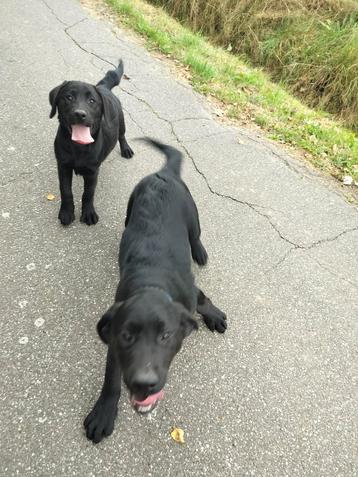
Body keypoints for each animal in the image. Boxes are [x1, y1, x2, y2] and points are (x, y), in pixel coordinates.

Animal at [49, 60, 134, 227]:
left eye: (92, 101)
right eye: (68, 97)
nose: (80, 114)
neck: (78, 147)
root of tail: (104, 87)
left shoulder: (92, 172)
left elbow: (88, 193)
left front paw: (88, 213)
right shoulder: (63, 166)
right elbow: (66, 191)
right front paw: (66, 212)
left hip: (121, 121)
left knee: (122, 136)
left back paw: (126, 149)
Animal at [84, 138, 227, 442]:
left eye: (166, 336)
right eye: (127, 336)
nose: (144, 384)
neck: (153, 283)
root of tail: (164, 173)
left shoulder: (189, 290)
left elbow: (202, 298)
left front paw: (214, 315)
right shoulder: (115, 344)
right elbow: (111, 379)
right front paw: (104, 412)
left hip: (192, 214)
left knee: (196, 235)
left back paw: (199, 251)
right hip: (131, 206)